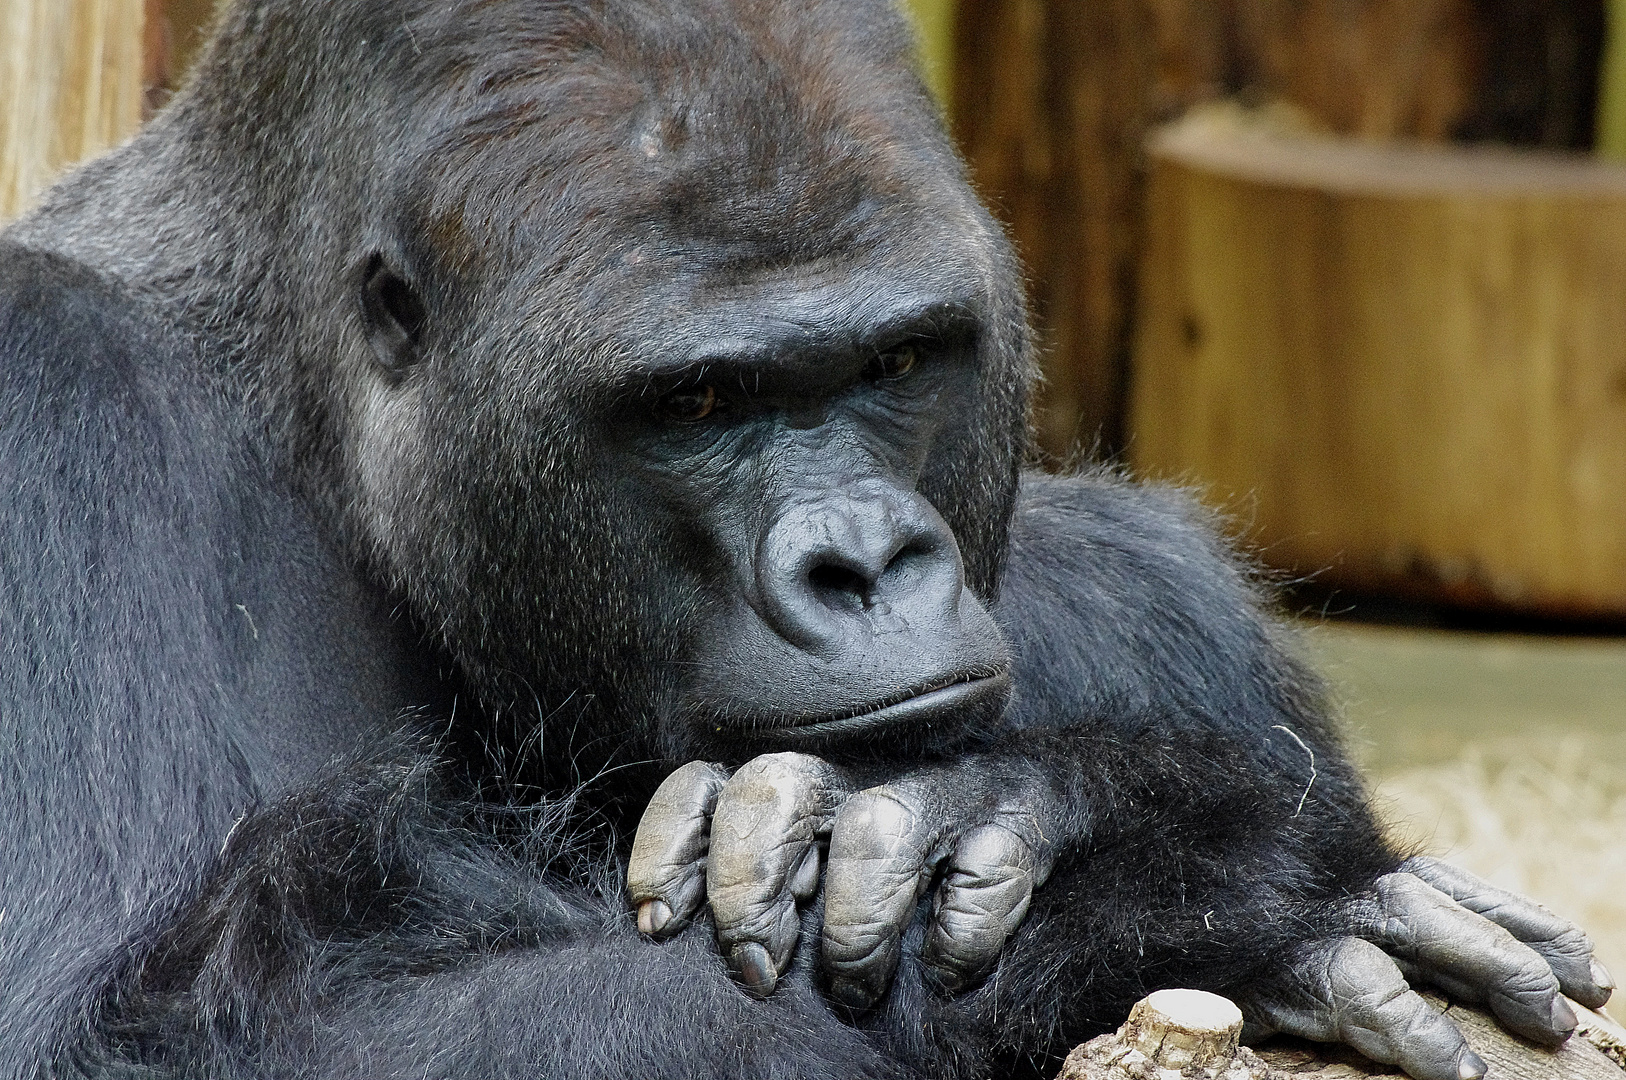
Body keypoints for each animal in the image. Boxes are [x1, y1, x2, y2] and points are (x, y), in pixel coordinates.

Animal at [0, 2, 1606, 1080]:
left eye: (895, 360)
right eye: (700, 398)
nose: (867, 568)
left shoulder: (1160, 598)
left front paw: (1034, 809)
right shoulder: (56, 411)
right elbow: (117, 1039)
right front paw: (1182, 881)